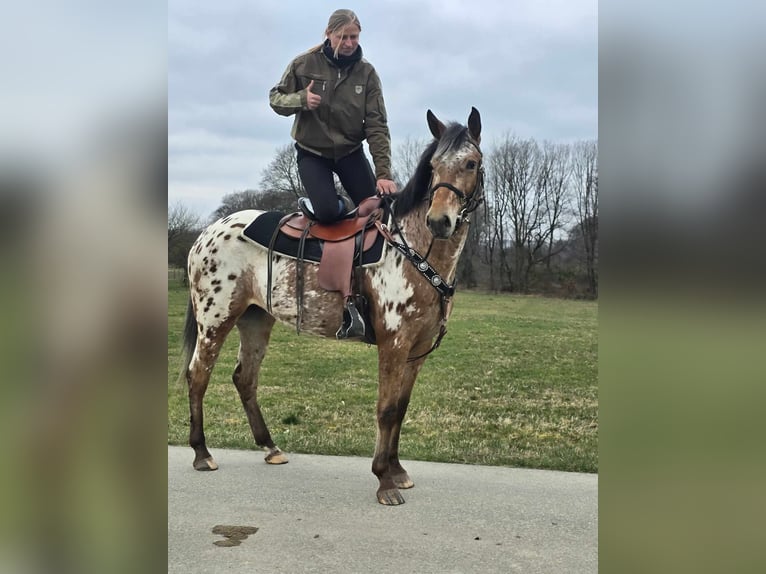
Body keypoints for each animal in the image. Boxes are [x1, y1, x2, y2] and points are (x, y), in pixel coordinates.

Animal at [182, 107, 486, 504]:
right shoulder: (394, 343)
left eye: (470, 163)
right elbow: (387, 409)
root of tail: (206, 233)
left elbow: (401, 409)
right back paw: (202, 453)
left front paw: (398, 470)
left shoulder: (417, 350)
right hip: (215, 318)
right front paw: (384, 480)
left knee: (244, 378)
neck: (412, 249)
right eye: (434, 166)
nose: (439, 221)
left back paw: (270, 447)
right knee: (198, 375)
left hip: (255, 320)